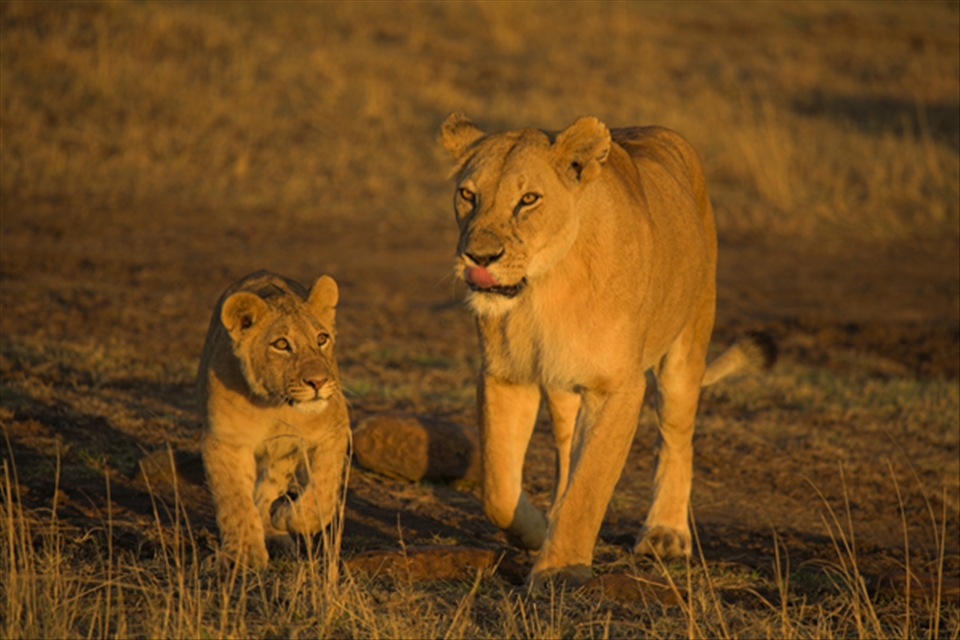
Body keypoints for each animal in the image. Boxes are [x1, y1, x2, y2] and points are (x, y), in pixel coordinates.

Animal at [197, 270, 350, 568]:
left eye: (321, 339)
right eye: (281, 344)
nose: (319, 382)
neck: (275, 405)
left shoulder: (335, 430)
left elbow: (322, 494)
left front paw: (283, 514)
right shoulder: (225, 440)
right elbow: (235, 500)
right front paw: (243, 555)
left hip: (283, 455)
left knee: (267, 490)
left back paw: (275, 529)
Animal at [440, 113, 774, 587]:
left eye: (528, 199)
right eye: (468, 194)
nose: (479, 258)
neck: (543, 291)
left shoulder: (619, 387)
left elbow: (590, 484)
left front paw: (560, 570)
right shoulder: (506, 375)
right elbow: (498, 489)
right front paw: (537, 532)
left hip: (686, 346)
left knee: (676, 438)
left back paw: (665, 534)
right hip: (561, 386)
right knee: (565, 449)